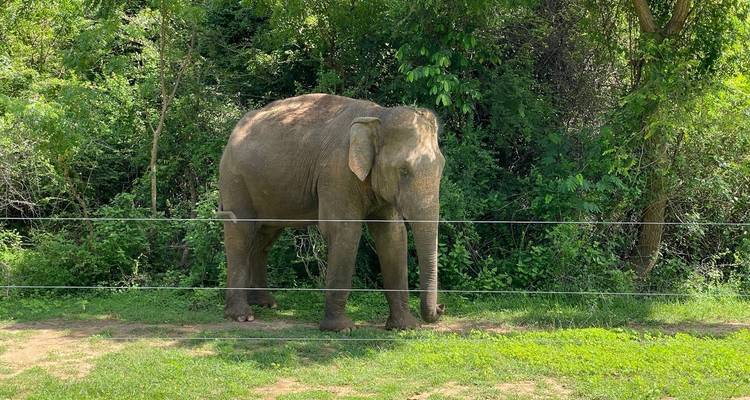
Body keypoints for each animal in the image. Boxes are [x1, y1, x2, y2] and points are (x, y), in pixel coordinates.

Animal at [218, 93, 445, 331]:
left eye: (441, 168)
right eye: (403, 171)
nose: (440, 308)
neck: (378, 115)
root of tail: (234, 131)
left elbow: (392, 235)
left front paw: (405, 326)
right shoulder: (337, 172)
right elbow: (344, 230)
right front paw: (342, 328)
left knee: (264, 238)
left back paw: (266, 304)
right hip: (235, 179)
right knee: (240, 232)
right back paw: (242, 316)